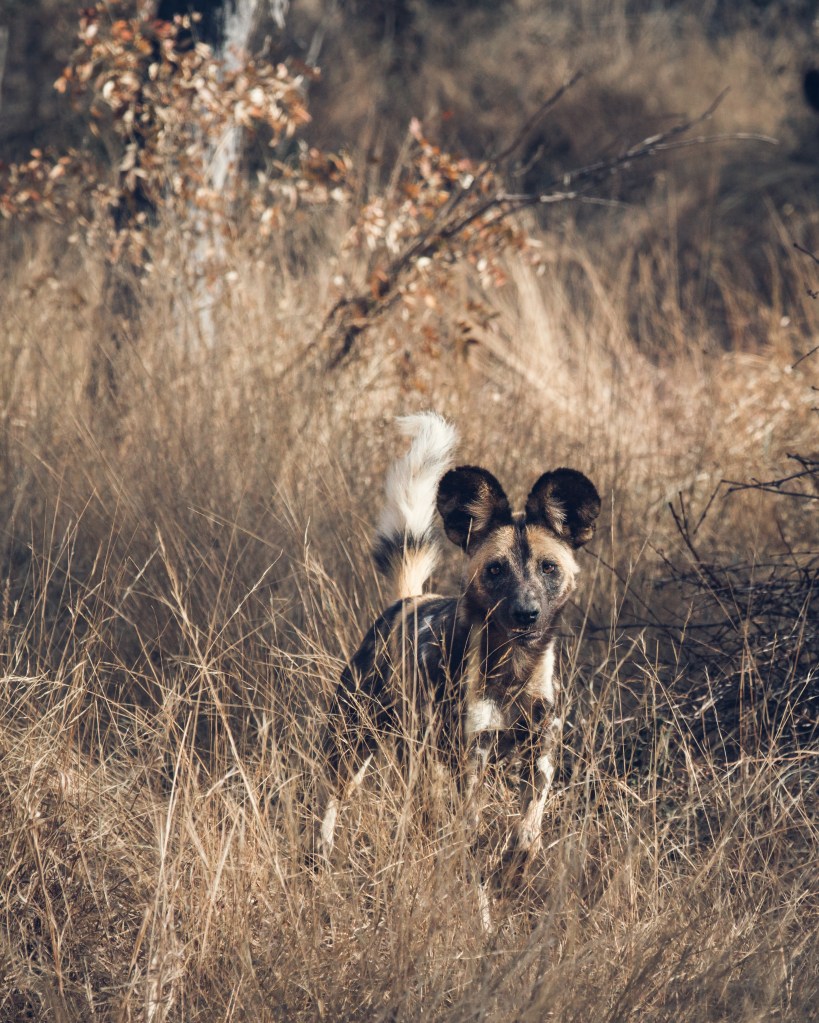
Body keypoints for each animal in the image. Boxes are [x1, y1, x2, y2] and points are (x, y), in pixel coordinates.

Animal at [319, 412, 600, 869]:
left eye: (549, 567)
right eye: (495, 569)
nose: (526, 613)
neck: (515, 668)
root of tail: (408, 599)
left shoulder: (542, 746)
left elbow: (530, 820)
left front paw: (521, 861)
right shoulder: (472, 755)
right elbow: (469, 827)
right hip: (356, 739)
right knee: (334, 798)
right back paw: (322, 857)